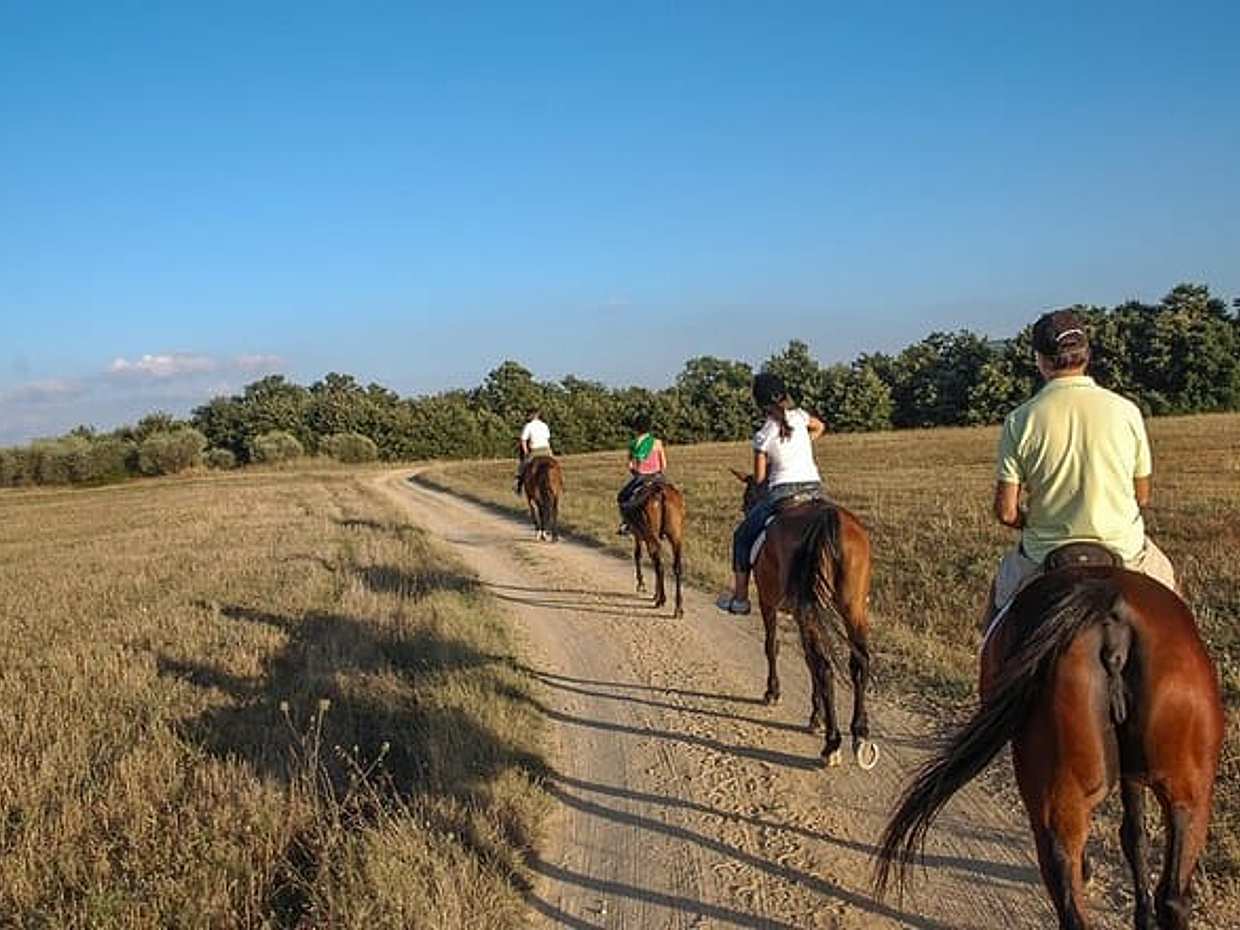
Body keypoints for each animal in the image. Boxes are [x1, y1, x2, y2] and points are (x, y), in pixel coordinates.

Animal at [620, 479, 686, 618]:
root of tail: (661, 493)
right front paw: (655, 593)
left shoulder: (639, 535)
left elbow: (638, 555)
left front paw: (641, 584)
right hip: (676, 537)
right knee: (676, 567)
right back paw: (678, 608)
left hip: (651, 536)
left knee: (659, 565)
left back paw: (661, 599)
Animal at [732, 470, 878, 770]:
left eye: (748, 494)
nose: (744, 508)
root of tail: (828, 519)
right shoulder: (804, 613)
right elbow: (809, 660)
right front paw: (816, 715)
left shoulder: (768, 602)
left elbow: (772, 646)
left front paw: (773, 693)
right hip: (853, 607)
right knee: (858, 663)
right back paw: (859, 734)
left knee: (825, 666)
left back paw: (832, 744)